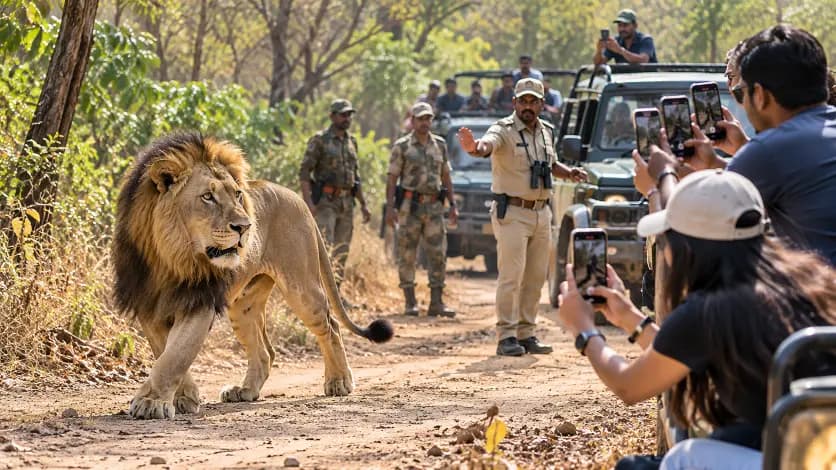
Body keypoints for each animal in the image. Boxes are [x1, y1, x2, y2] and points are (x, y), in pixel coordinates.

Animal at [113, 132, 393, 419]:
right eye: (207, 197)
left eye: (237, 194)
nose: (245, 227)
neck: (171, 258)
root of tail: (297, 198)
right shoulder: (147, 304)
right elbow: (165, 352)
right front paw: (185, 397)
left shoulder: (201, 300)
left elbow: (176, 355)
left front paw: (152, 402)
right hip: (244, 306)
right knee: (266, 352)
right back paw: (244, 391)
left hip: (303, 287)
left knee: (331, 325)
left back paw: (339, 381)